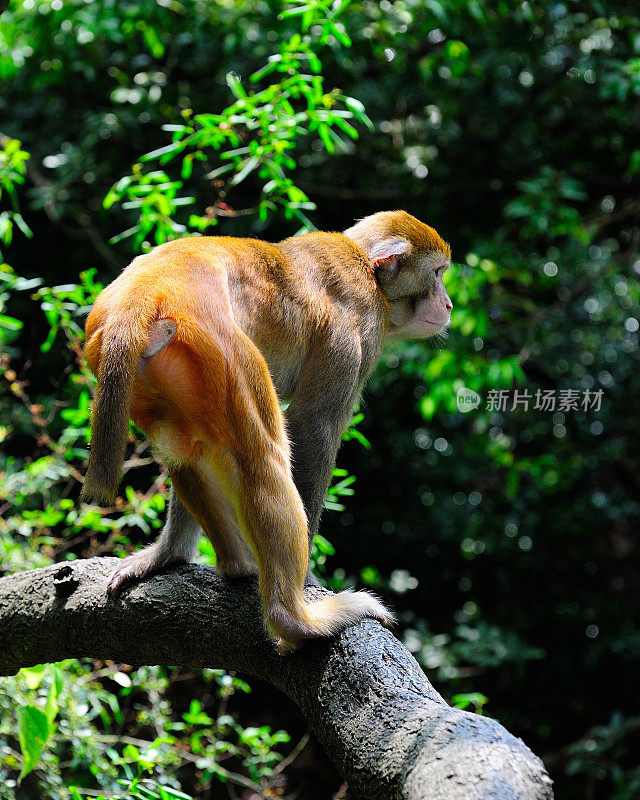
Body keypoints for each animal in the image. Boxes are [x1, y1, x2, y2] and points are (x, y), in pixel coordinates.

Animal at [82, 211, 452, 648]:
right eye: (437, 273)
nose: (448, 303)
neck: (365, 265)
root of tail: (143, 292)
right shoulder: (359, 318)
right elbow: (315, 424)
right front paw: (309, 578)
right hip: (226, 353)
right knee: (262, 459)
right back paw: (292, 617)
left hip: (144, 368)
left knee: (185, 450)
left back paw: (191, 558)